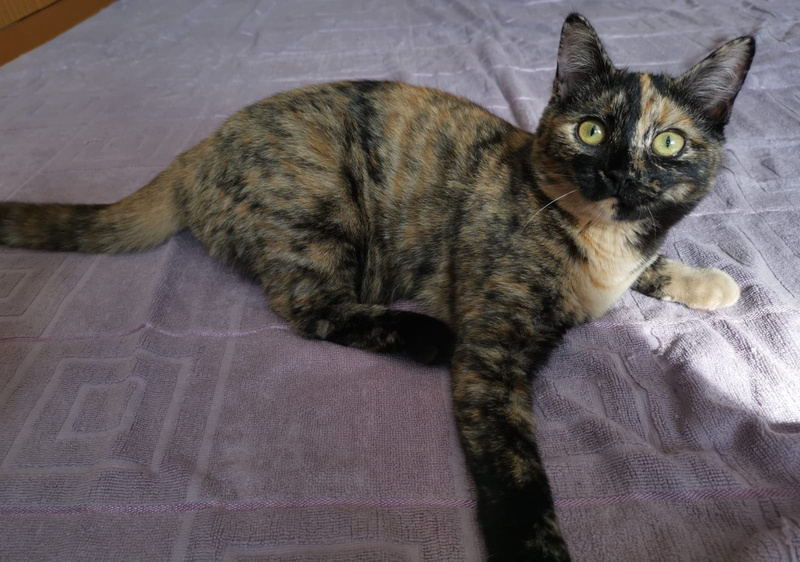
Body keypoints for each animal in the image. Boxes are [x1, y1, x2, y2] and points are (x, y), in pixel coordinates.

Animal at [0, 13, 754, 561]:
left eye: (668, 143)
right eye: (591, 130)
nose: (622, 173)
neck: (597, 242)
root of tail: (196, 152)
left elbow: (652, 262)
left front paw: (706, 280)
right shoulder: (491, 360)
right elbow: (517, 477)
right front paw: (537, 553)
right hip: (324, 206)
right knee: (309, 310)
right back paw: (421, 333)